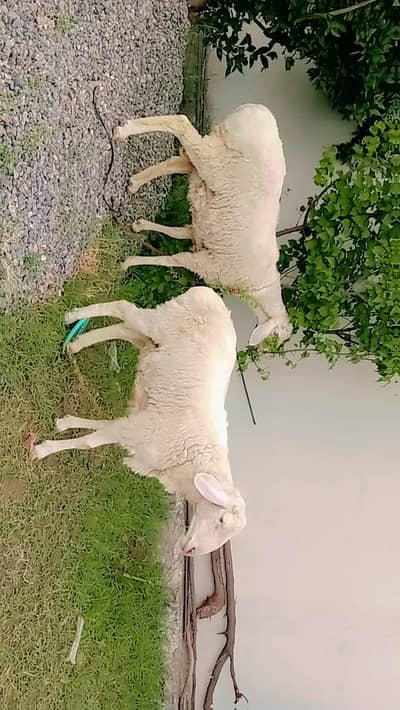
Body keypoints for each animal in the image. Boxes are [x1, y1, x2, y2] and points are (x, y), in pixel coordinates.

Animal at [31, 286, 246, 556]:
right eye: (221, 520)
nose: (189, 551)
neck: (190, 464)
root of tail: (212, 294)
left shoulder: (137, 427)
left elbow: (103, 427)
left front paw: (65, 424)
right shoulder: (141, 430)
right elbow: (89, 443)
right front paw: (44, 450)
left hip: (152, 343)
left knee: (124, 329)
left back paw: (76, 345)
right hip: (162, 321)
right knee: (124, 309)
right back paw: (73, 316)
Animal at [113, 103, 292, 346]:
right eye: (275, 338)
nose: (254, 347)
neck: (259, 287)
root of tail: (259, 110)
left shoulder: (200, 236)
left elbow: (178, 233)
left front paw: (140, 226)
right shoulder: (207, 263)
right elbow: (173, 260)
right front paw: (129, 263)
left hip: (215, 147)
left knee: (179, 160)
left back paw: (135, 181)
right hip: (217, 162)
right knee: (181, 124)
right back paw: (123, 132)